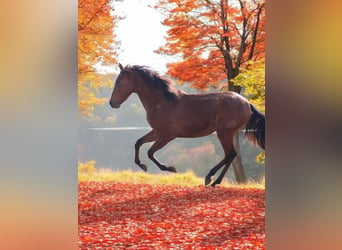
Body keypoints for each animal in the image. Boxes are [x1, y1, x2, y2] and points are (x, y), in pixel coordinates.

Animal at [109, 64, 264, 186]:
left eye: (119, 81)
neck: (161, 102)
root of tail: (246, 103)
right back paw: (215, 181)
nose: (112, 103)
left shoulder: (167, 135)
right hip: (228, 133)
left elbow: (150, 152)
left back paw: (210, 178)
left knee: (230, 154)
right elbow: (138, 143)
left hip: (224, 133)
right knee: (231, 155)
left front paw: (170, 168)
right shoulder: (157, 132)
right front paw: (142, 165)